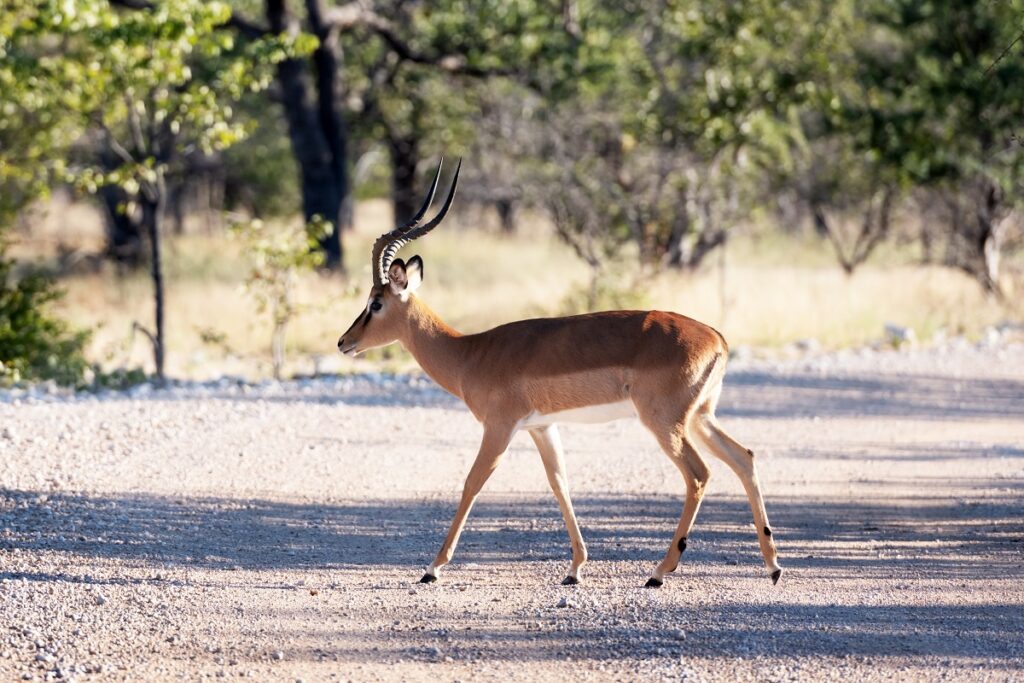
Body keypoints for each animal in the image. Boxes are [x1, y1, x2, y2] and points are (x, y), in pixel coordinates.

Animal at [337, 160, 782, 589]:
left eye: (376, 303)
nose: (344, 342)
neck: (471, 353)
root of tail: (717, 338)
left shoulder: (500, 427)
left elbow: (471, 483)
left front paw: (432, 568)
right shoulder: (541, 427)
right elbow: (560, 484)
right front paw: (575, 569)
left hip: (665, 422)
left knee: (699, 474)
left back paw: (659, 572)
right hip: (701, 417)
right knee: (744, 458)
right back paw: (773, 566)